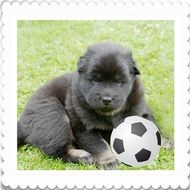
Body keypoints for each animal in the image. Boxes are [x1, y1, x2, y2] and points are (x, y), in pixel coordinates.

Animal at [17, 42, 169, 168]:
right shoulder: (85, 128)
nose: (106, 99)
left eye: (118, 81)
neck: (110, 114)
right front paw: (109, 161)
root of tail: (22, 122)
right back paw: (83, 157)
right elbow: (99, 145)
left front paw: (163, 143)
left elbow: (152, 125)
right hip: (54, 116)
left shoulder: (140, 110)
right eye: (95, 80)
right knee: (58, 151)